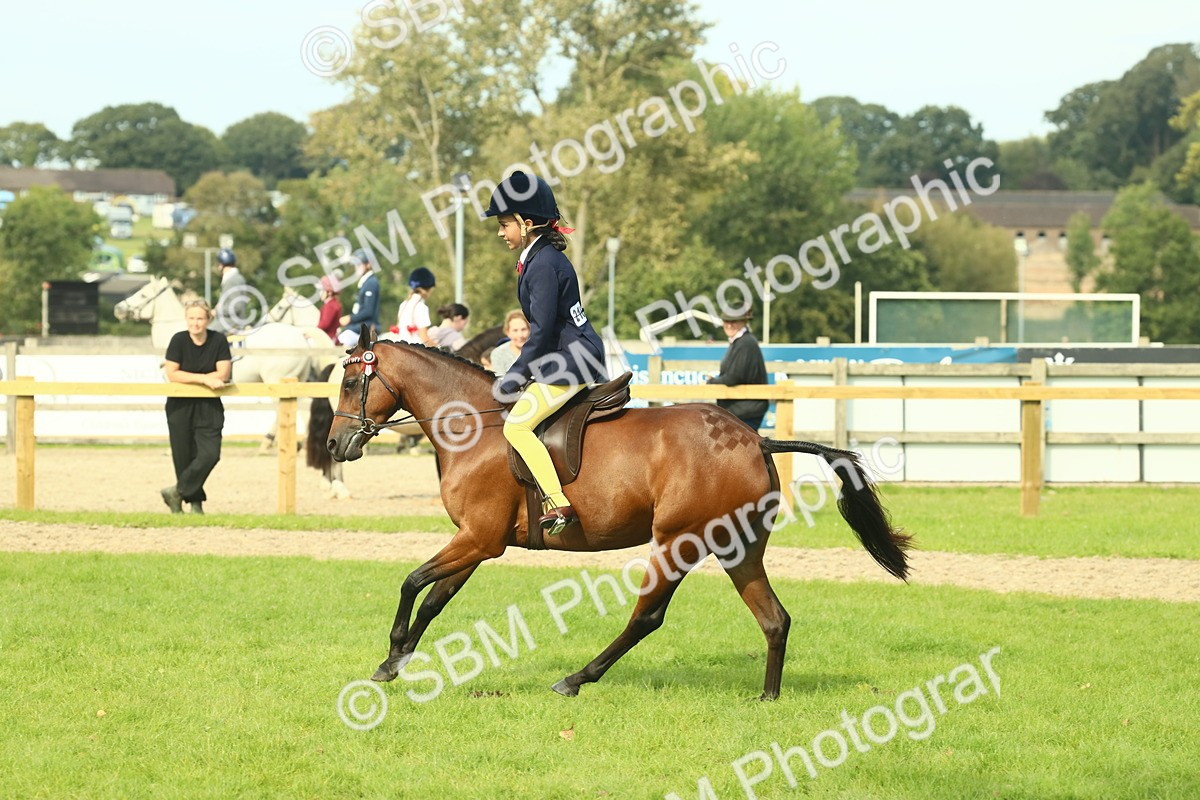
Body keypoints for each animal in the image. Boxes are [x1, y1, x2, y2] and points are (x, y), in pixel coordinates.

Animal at [327, 331, 911, 700]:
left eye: (353, 384)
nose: (334, 445)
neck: (474, 425)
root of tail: (754, 438)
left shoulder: (478, 540)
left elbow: (411, 582)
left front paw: (392, 655)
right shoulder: (477, 542)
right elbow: (434, 600)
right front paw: (397, 660)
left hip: (678, 541)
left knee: (647, 617)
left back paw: (575, 679)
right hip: (738, 548)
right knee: (774, 618)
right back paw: (768, 698)